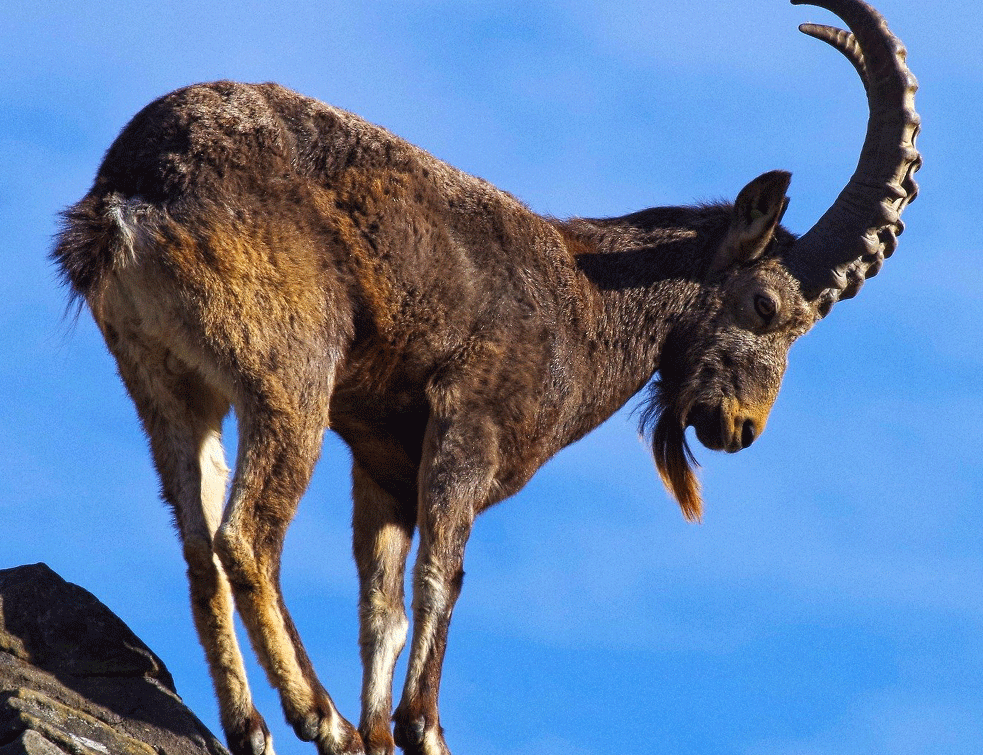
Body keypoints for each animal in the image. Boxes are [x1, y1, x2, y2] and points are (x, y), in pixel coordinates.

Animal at [52, 0, 916, 752]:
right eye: (765, 304)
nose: (739, 427)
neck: (586, 296)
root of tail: (132, 192)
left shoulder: (383, 460)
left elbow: (382, 606)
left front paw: (378, 738)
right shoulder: (468, 428)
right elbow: (443, 576)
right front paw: (419, 731)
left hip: (168, 387)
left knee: (199, 549)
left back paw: (254, 728)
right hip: (289, 374)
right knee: (246, 535)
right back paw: (318, 716)